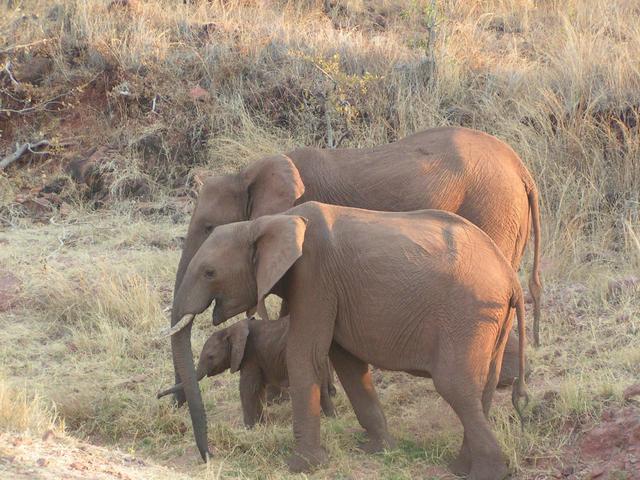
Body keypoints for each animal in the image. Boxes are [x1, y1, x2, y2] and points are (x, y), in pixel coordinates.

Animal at [156, 316, 336, 426]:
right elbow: (258, 389)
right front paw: (261, 424)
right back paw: (332, 418)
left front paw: (249, 427)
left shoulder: (251, 356)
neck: (230, 329)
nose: (158, 395)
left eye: (210, 356)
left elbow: (247, 388)